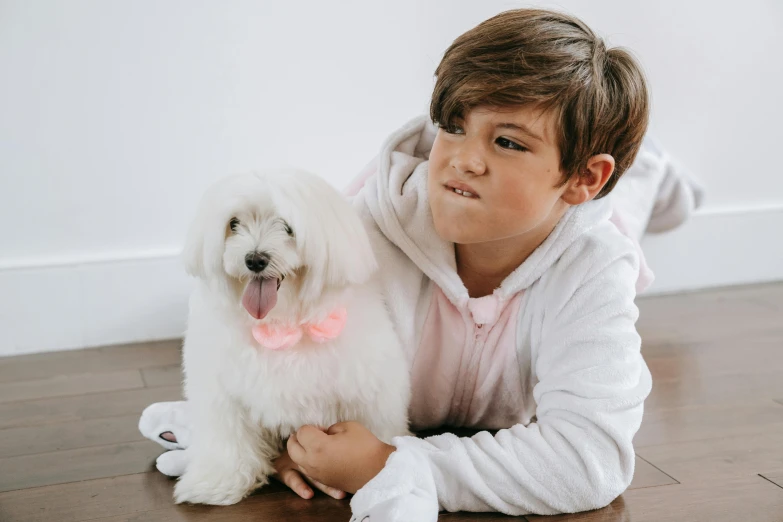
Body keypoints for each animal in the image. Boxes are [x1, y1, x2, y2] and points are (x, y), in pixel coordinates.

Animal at [170, 171, 410, 504]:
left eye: (287, 227)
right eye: (234, 224)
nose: (254, 260)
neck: (282, 325)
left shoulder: (370, 390)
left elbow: (378, 428)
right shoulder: (221, 394)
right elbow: (227, 439)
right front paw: (216, 482)